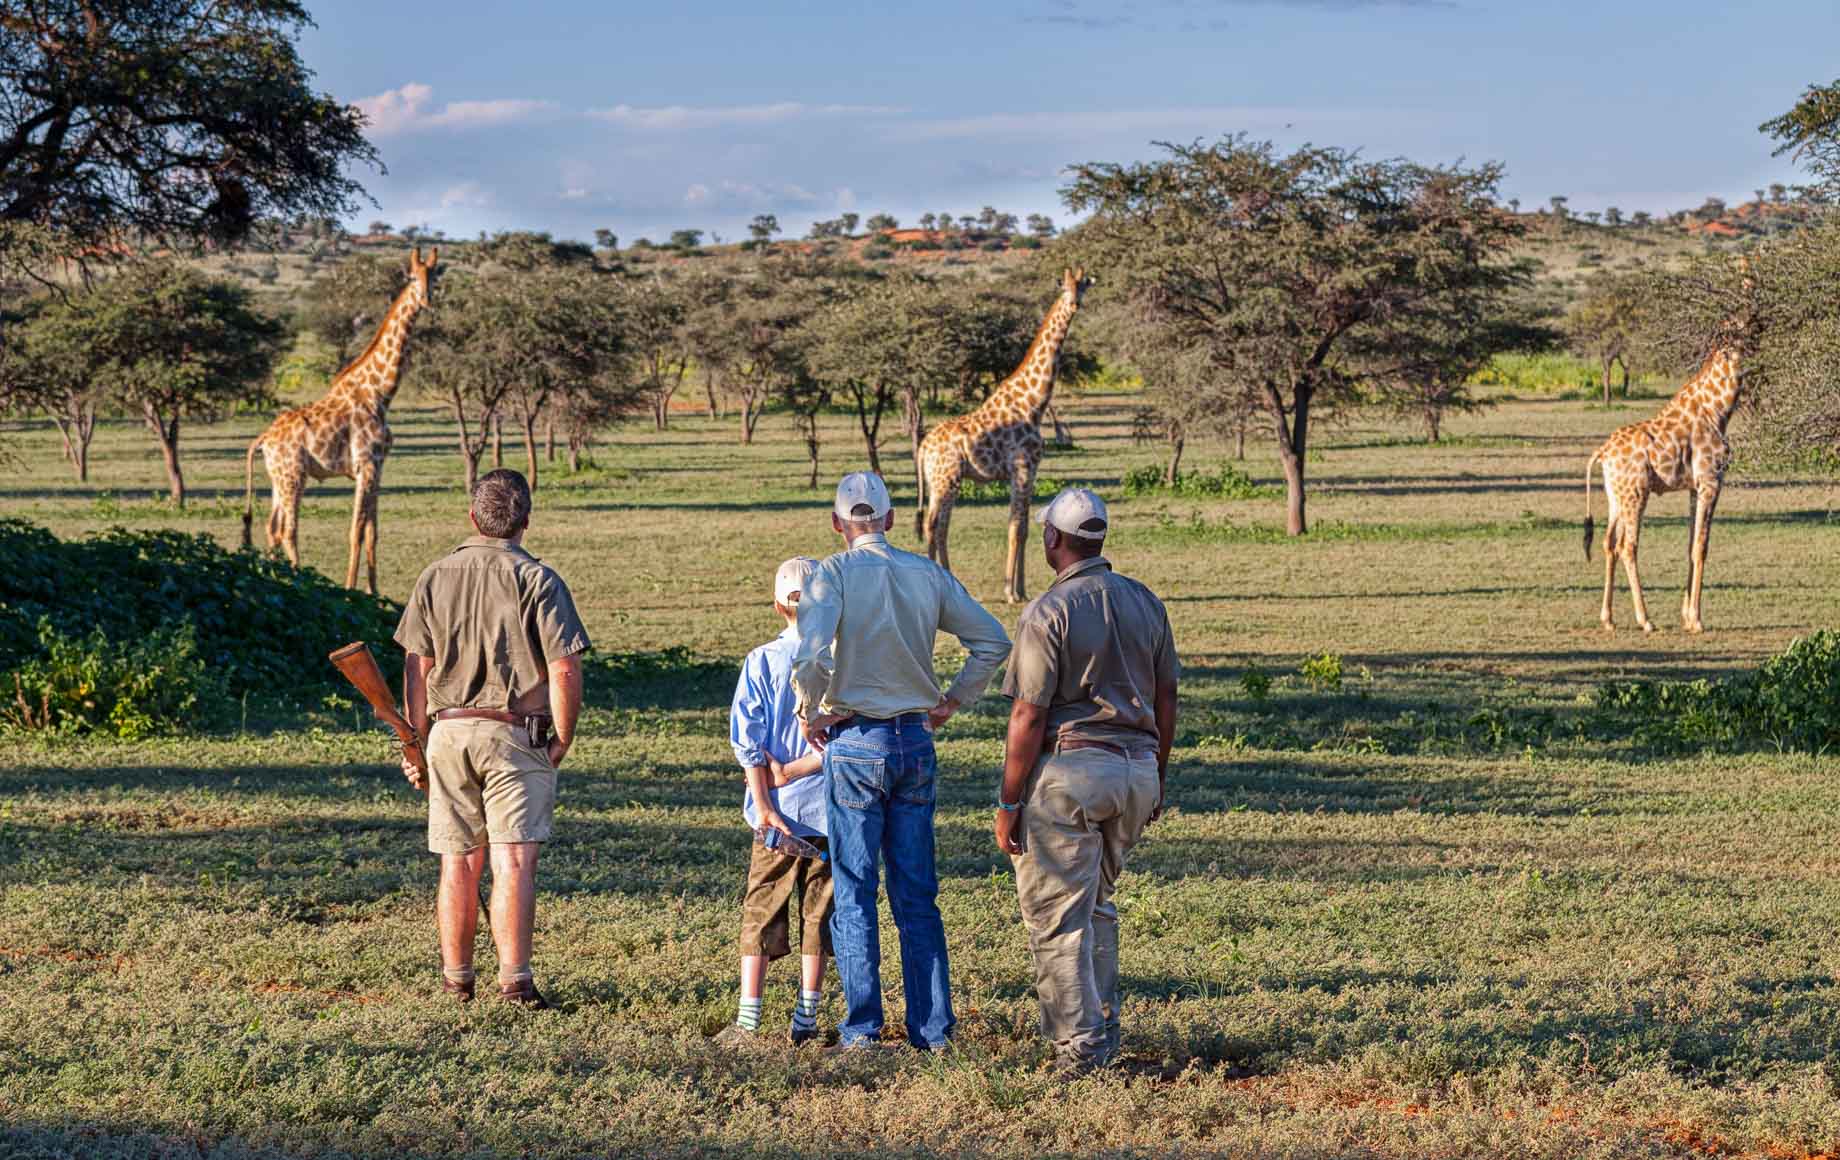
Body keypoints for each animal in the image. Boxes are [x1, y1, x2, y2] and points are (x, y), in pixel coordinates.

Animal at [242, 248, 439, 596]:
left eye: (435, 276)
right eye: (413, 278)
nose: (426, 300)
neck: (381, 392)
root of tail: (263, 439)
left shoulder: (378, 467)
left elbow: (373, 532)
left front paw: (374, 592)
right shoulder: (365, 465)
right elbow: (356, 530)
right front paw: (350, 589)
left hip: (279, 477)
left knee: (273, 527)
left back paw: (275, 579)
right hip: (294, 476)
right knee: (289, 529)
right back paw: (298, 580)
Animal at [920, 266, 1089, 603]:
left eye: (1083, 286)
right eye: (1064, 287)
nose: (1075, 304)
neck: (1033, 402)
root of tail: (922, 447)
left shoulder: (1031, 470)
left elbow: (1023, 525)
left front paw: (1021, 589)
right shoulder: (1022, 467)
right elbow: (1016, 526)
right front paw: (1011, 591)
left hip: (939, 481)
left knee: (941, 525)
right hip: (947, 479)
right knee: (933, 524)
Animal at [1582, 279, 1751, 637]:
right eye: (1736, 326)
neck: (1718, 410)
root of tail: (1602, 453)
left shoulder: (1694, 487)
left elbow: (1690, 544)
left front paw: (1687, 616)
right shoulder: (1711, 481)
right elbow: (1701, 545)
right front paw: (1697, 620)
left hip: (1616, 495)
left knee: (1607, 542)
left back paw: (1608, 618)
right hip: (1636, 492)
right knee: (1627, 546)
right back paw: (1645, 620)